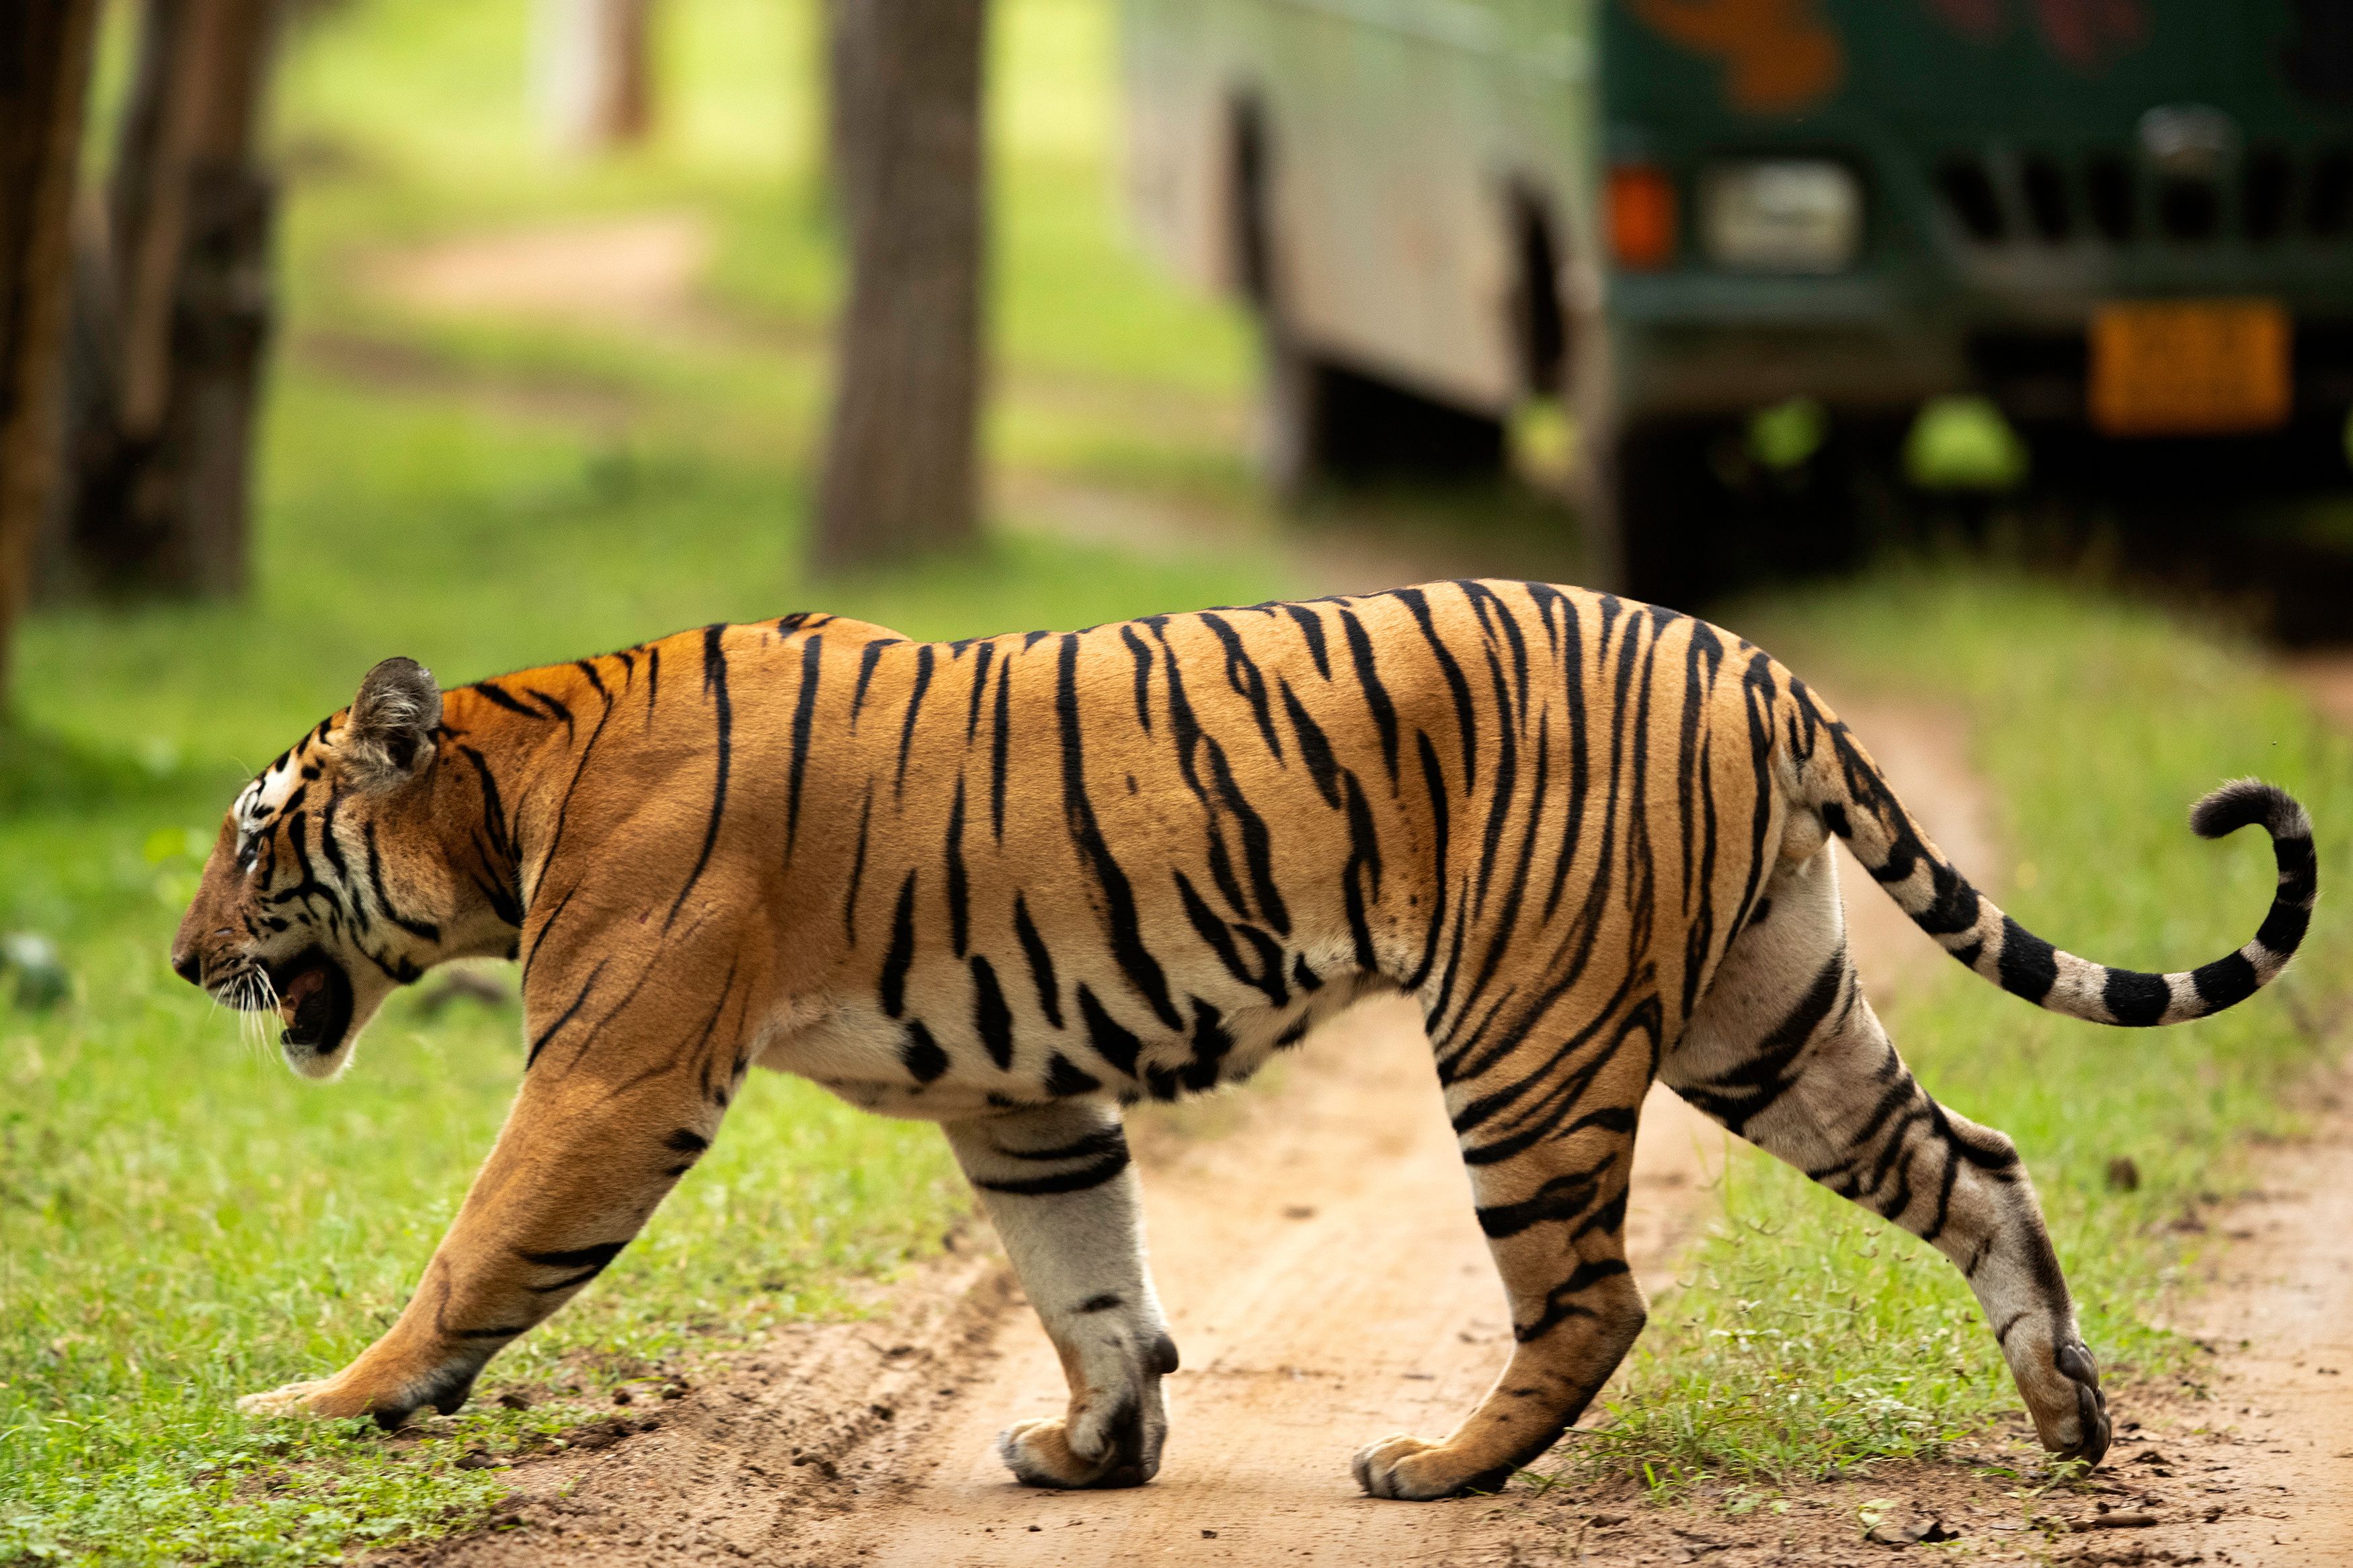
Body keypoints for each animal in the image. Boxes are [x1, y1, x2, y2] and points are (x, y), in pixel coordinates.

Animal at [170, 579, 2315, 1500]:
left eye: (254, 841)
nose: (185, 963)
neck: (518, 778)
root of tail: (1754, 658)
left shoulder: (612, 1076)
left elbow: (474, 1248)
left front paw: (325, 1404)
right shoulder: (1024, 1095)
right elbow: (1088, 1277)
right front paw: (1093, 1444)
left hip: (1526, 1033)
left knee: (1590, 1295)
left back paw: (1439, 1467)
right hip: (1765, 1013)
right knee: (1983, 1168)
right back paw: (2067, 1415)